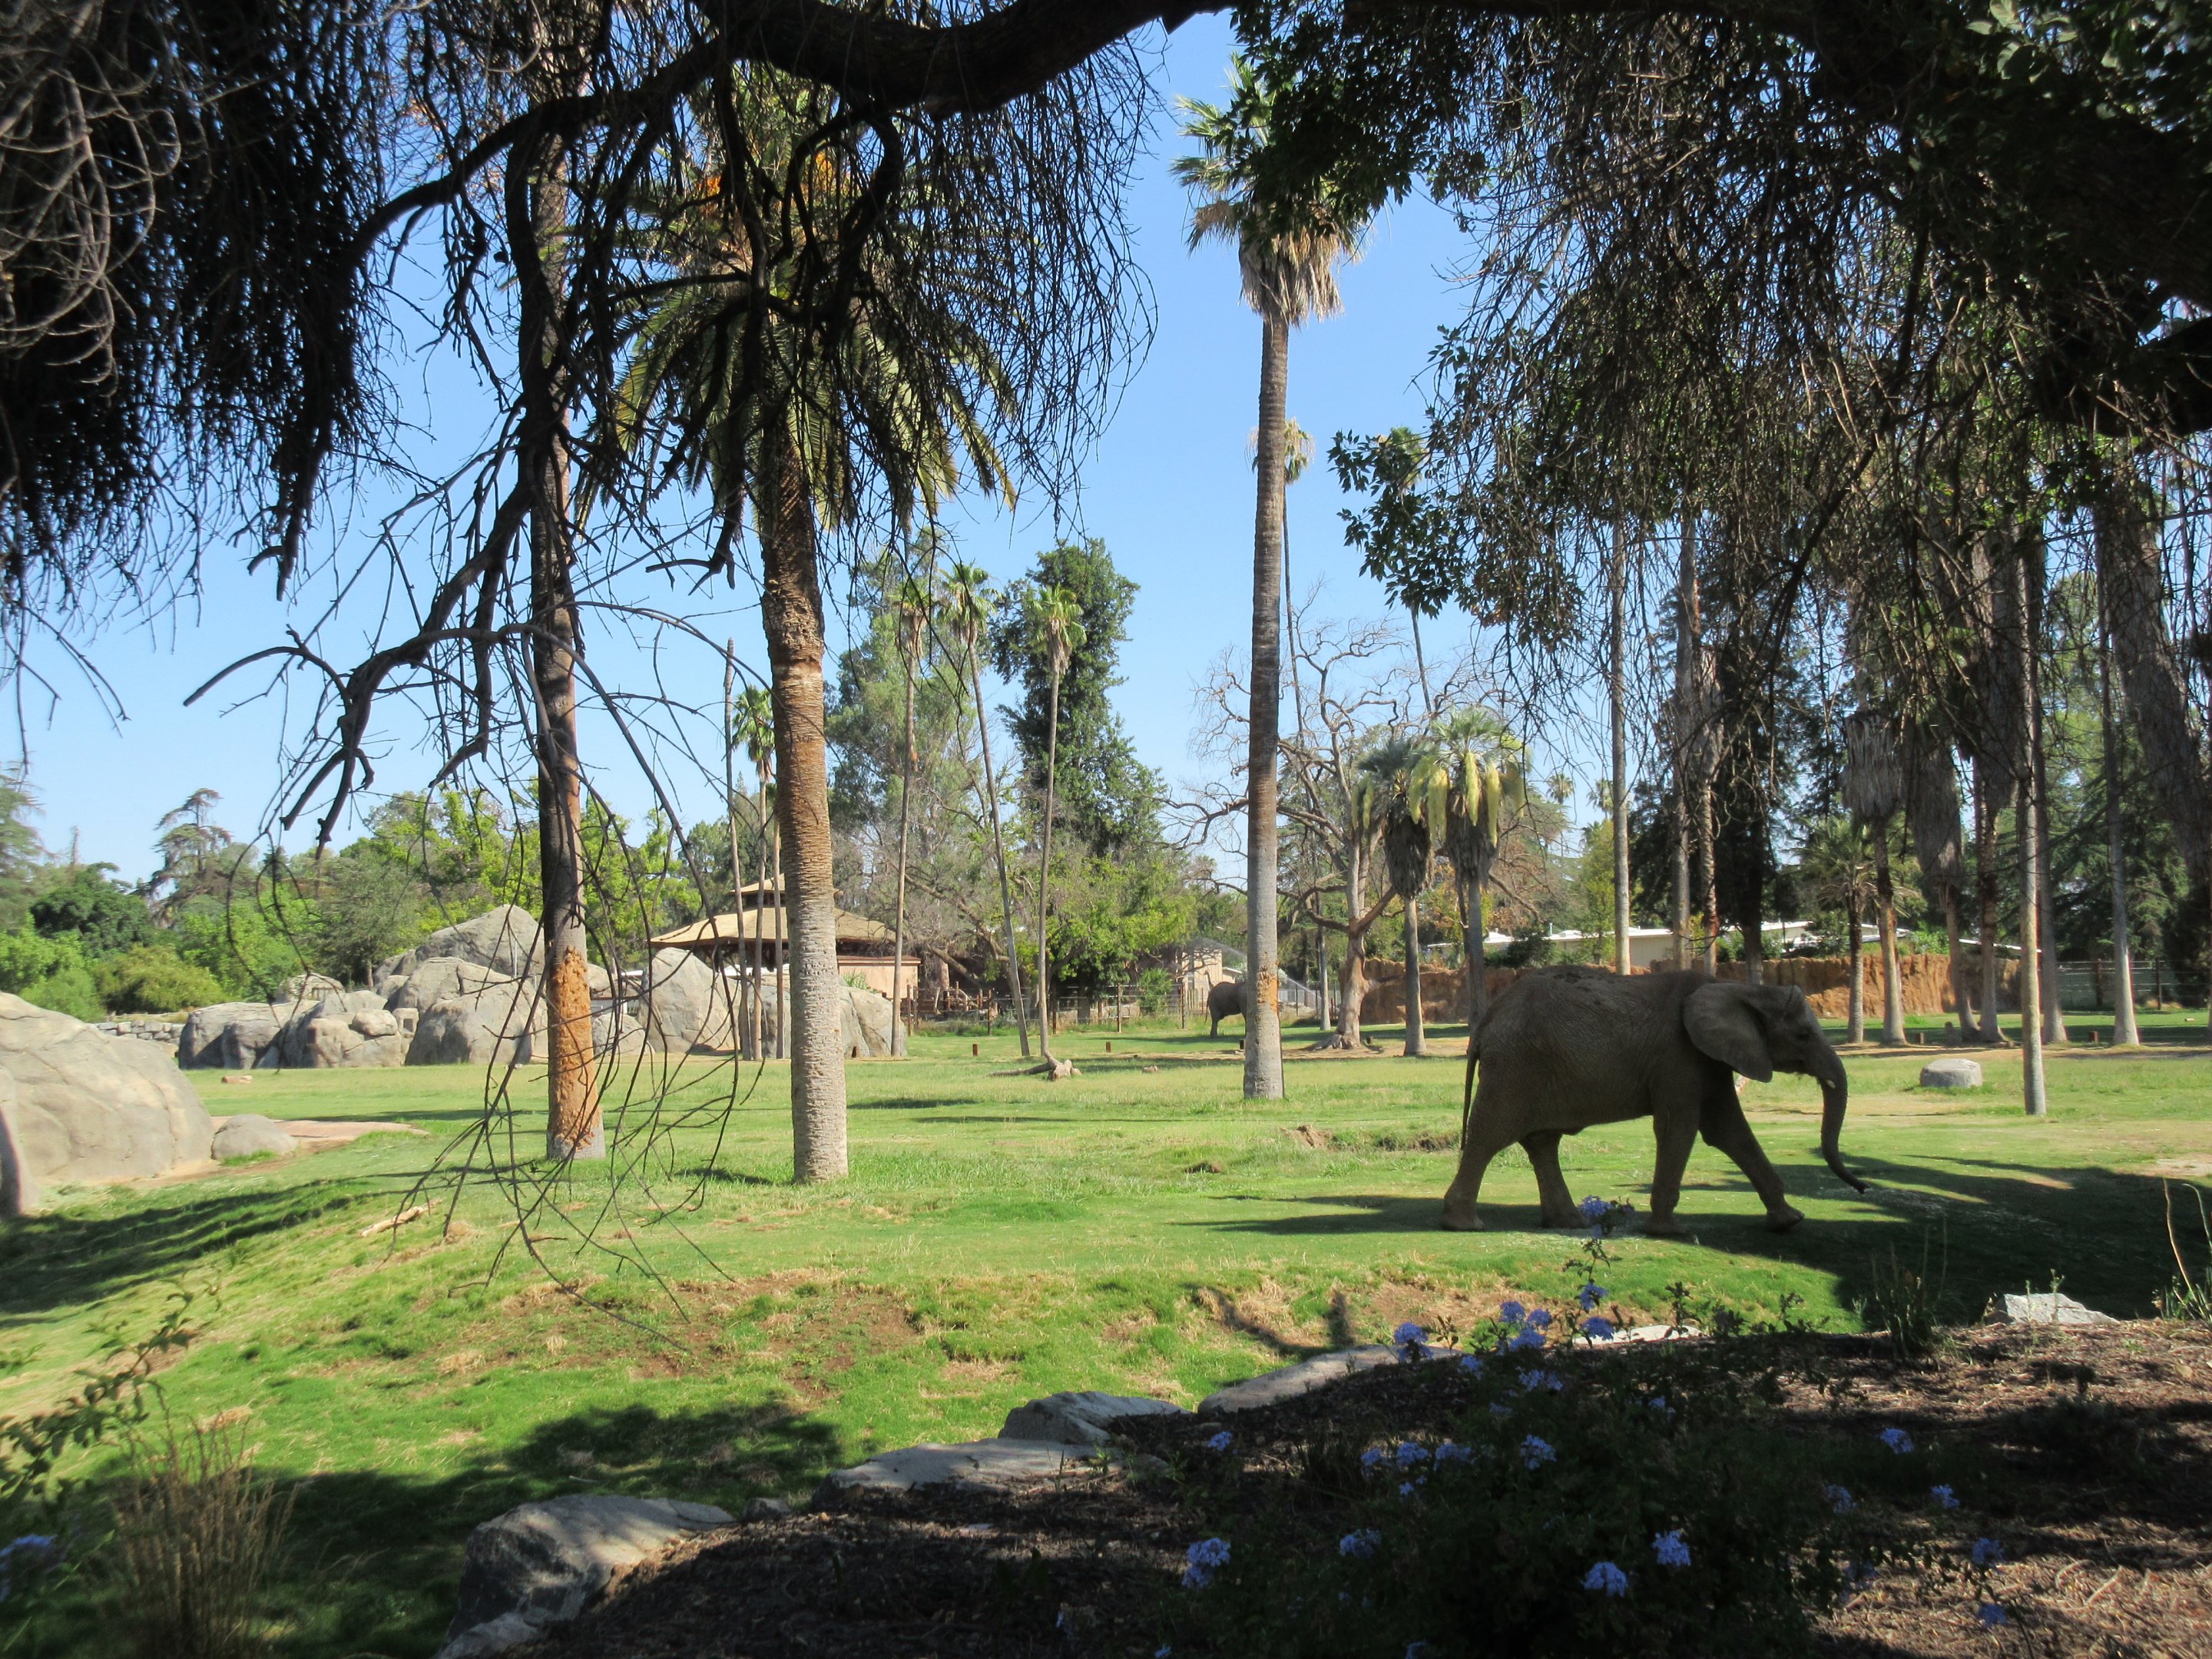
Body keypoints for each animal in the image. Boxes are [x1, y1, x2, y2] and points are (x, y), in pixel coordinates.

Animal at [1439, 966, 1866, 1235]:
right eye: (1803, 1036)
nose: (1862, 1188)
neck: (1734, 986)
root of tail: (1487, 1019)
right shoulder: (1680, 1055)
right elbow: (1681, 1126)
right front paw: (1670, 1231)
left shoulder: (1708, 1058)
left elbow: (1728, 1131)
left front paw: (1790, 1220)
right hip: (1516, 1066)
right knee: (1491, 1134)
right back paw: (1465, 1225)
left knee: (1542, 1142)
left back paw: (1570, 1223)